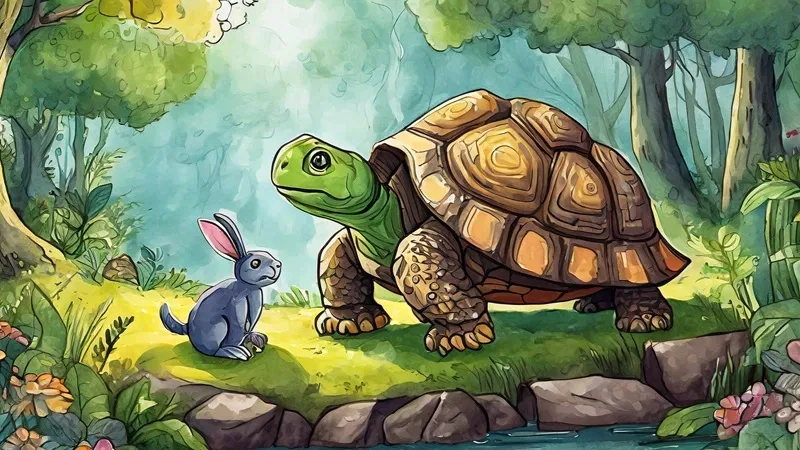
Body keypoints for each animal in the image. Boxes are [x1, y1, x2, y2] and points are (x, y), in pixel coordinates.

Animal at [160, 213, 281, 361]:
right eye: (255, 263)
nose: (278, 265)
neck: (248, 288)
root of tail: (188, 328)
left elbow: (248, 329)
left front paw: (256, 339)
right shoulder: (236, 308)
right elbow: (237, 330)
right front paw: (240, 350)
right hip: (219, 326)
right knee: (214, 351)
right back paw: (233, 352)